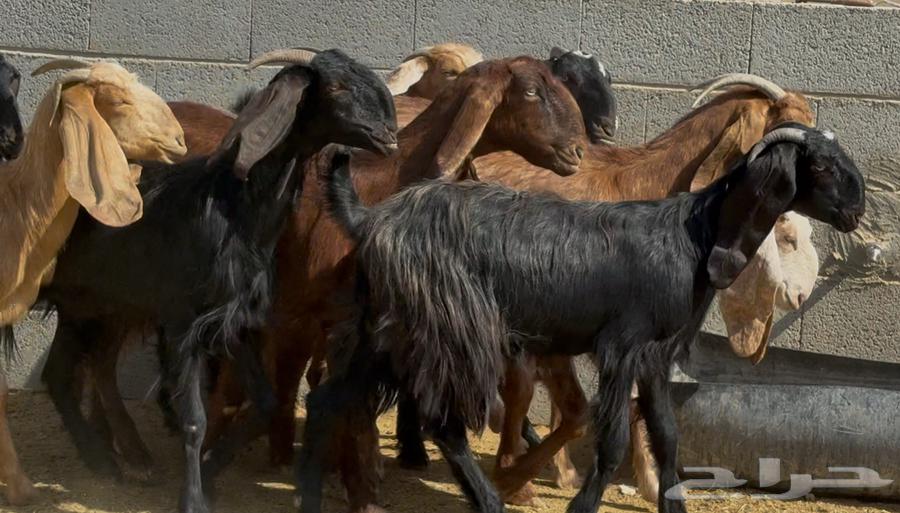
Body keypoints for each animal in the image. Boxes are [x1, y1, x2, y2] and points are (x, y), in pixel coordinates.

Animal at [37, 48, 398, 513]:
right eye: (336, 86)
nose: (389, 135)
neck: (229, 206)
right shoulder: (182, 322)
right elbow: (194, 418)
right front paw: (191, 498)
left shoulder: (233, 320)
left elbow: (265, 402)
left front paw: (208, 477)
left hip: (94, 305)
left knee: (65, 373)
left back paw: (108, 460)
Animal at [313, 123, 865, 513]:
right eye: (822, 168)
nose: (857, 209)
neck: (693, 237)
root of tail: (371, 219)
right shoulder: (623, 345)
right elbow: (615, 440)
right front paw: (580, 506)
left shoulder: (655, 355)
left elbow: (667, 435)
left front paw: (673, 506)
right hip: (456, 328)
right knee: (442, 423)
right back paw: (489, 499)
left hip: (386, 328)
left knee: (331, 397)